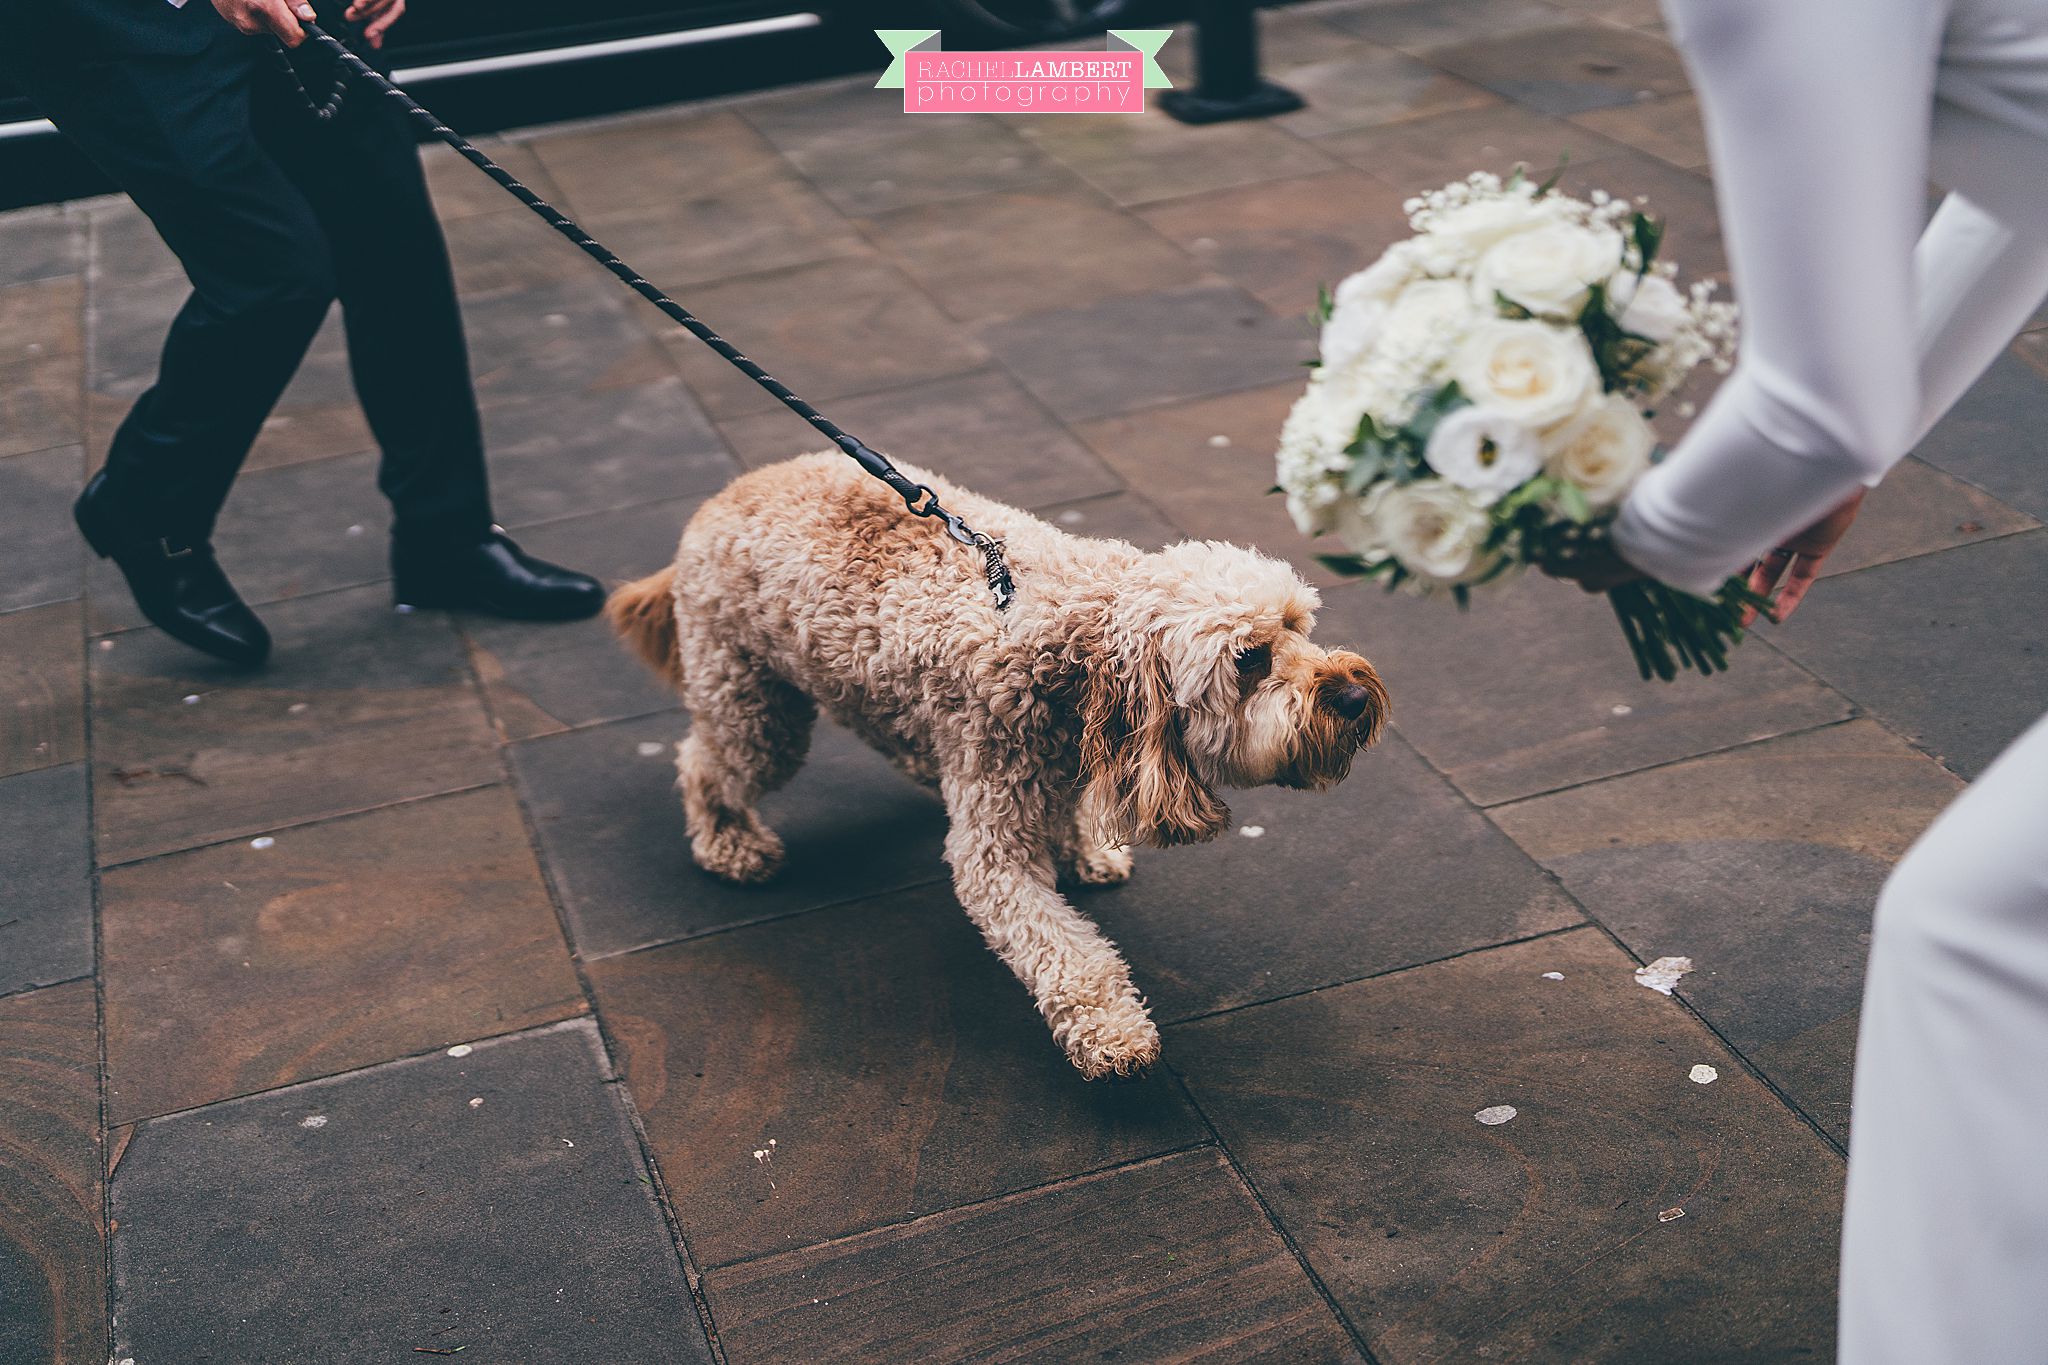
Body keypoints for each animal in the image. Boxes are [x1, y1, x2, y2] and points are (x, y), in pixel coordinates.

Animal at [598, 454, 1384, 1080]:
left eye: (1299, 626)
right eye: (1250, 658)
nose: (1353, 695)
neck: (1071, 643)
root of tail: (721, 497)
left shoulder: (1059, 759)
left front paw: (1083, 850)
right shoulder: (995, 841)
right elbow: (1066, 953)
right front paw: (1115, 1035)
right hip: (754, 705)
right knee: (705, 761)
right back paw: (726, 839)